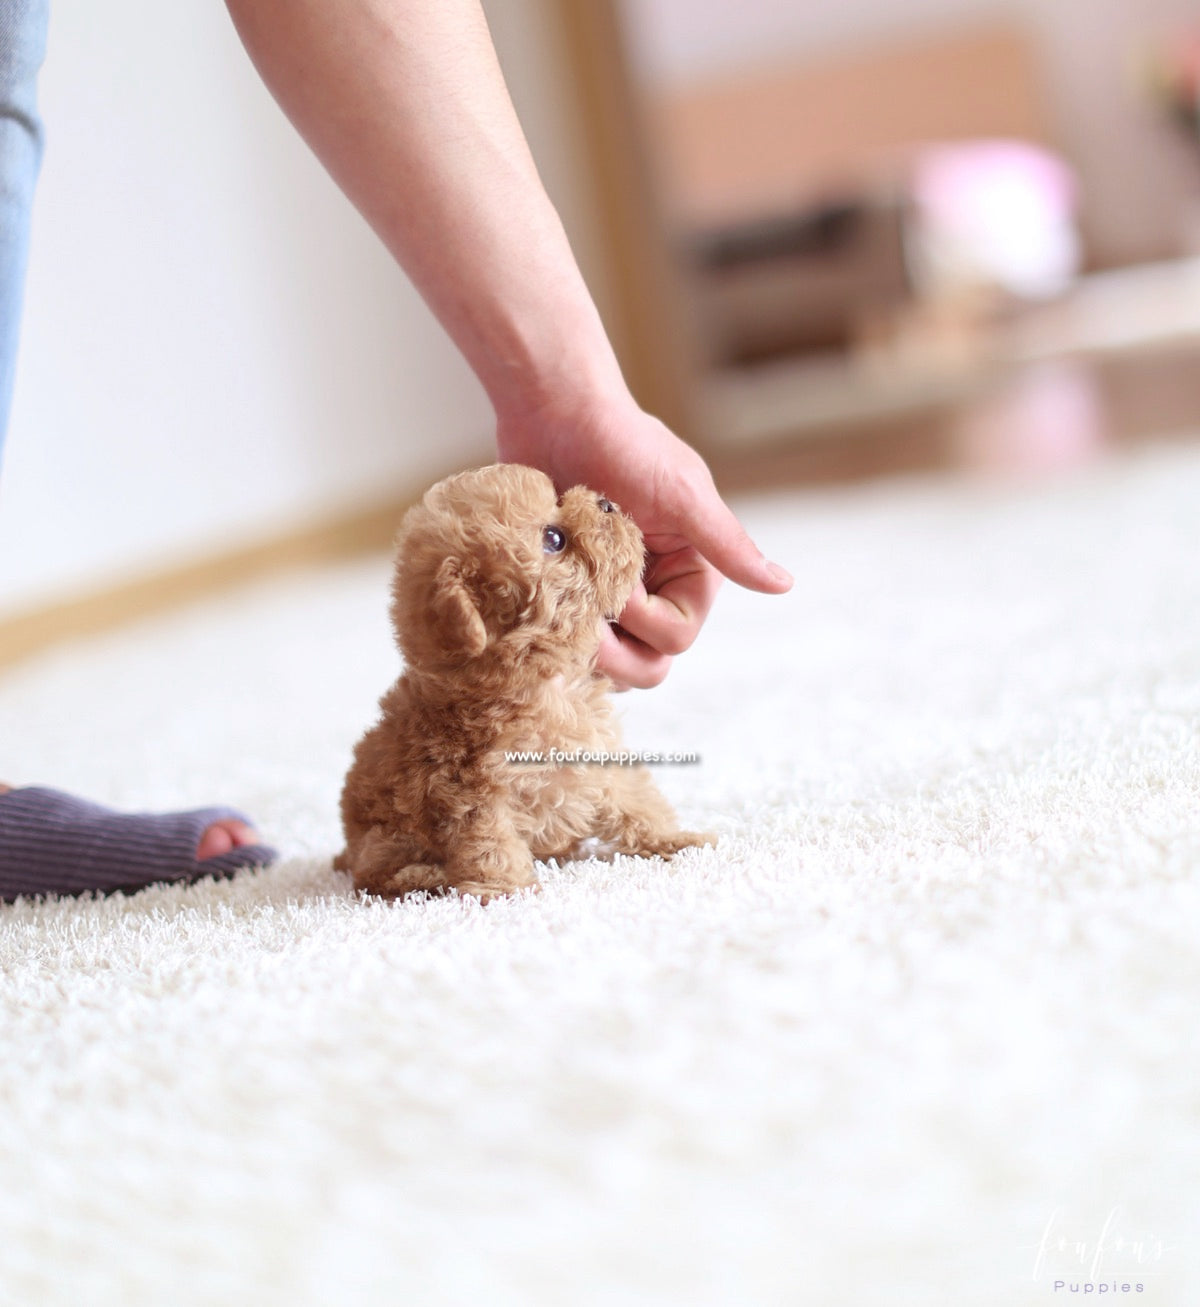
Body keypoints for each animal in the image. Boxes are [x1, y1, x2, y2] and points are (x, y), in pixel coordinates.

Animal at [333, 460, 716, 899]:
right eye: (554, 539)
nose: (605, 502)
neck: (543, 681)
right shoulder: (470, 788)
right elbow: (490, 841)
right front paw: (506, 892)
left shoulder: (597, 756)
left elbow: (634, 801)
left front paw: (675, 840)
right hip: (385, 837)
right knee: (373, 876)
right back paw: (425, 877)